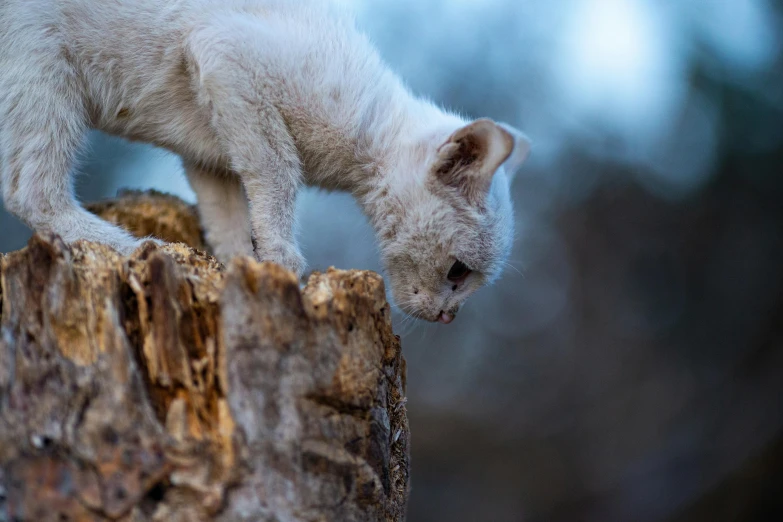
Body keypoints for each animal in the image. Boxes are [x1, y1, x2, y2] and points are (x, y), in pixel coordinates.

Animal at [1, 0, 532, 322]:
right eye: (458, 272)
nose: (448, 316)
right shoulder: (229, 58)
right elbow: (277, 173)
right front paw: (281, 258)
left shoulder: (211, 150)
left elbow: (228, 215)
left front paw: (237, 263)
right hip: (42, 69)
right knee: (31, 191)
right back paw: (135, 246)